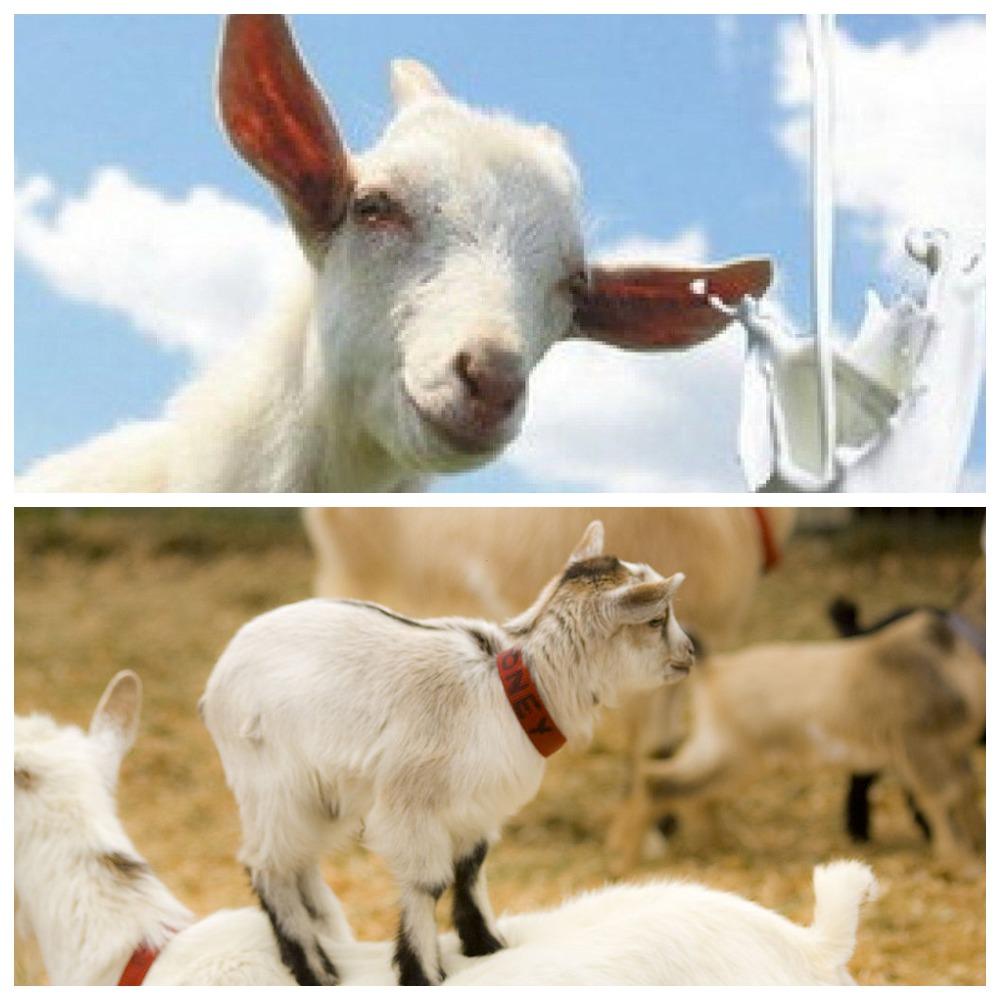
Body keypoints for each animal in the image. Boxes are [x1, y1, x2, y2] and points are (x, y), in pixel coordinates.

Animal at [200, 520, 695, 985]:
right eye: (656, 620)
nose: (690, 653)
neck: (510, 688)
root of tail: (216, 683)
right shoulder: (411, 805)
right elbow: (429, 883)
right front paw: (422, 972)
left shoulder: (476, 808)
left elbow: (470, 869)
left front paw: (487, 945)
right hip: (272, 785)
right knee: (268, 866)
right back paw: (313, 969)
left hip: (321, 794)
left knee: (298, 861)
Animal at [303, 505, 796, 871]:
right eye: (657, 618)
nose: (691, 649)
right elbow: (653, 747)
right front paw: (645, 838)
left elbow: (669, 745)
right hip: (370, 572)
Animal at [639, 558, 986, 874]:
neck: (956, 650)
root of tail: (715, 668)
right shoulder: (921, 743)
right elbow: (945, 799)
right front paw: (962, 863)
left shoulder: (954, 748)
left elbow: (968, 791)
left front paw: (977, 846)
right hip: (731, 756)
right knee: (665, 785)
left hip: (716, 752)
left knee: (682, 789)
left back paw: (711, 844)